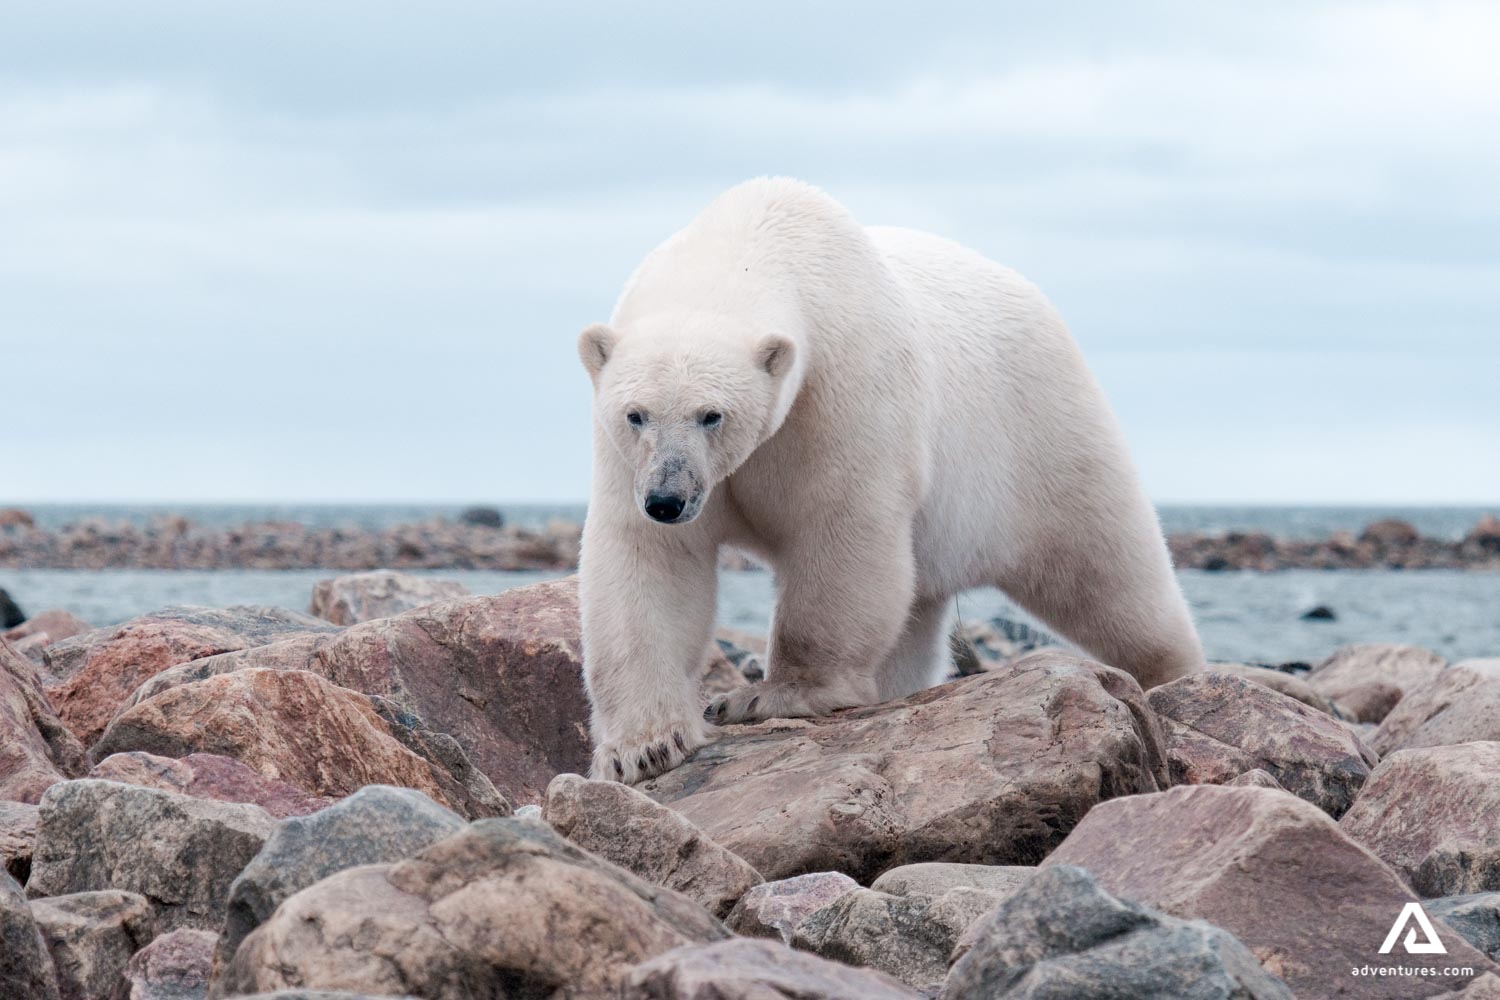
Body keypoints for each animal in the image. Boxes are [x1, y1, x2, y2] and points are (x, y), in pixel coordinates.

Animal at [577, 178, 1204, 783]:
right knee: (919, 612)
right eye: (636, 415)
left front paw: (767, 696)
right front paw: (643, 748)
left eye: (712, 415)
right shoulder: (630, 463)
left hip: (1041, 434)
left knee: (1106, 570)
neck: (754, 239)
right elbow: (650, 563)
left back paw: (1174, 675)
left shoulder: (841, 388)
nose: (667, 499)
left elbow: (842, 532)